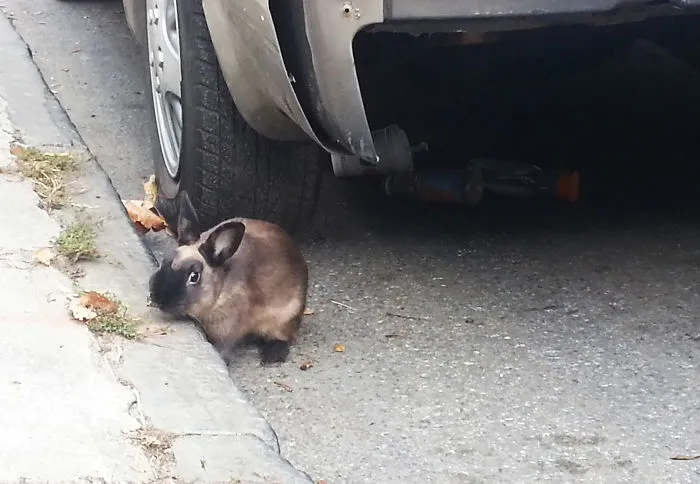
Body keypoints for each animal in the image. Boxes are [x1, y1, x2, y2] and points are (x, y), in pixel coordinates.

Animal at [148, 192, 308, 365]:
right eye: (165, 261)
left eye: (194, 276)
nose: (157, 298)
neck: (220, 291)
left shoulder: (229, 329)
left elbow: (224, 347)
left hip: (285, 318)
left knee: (284, 337)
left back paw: (272, 355)